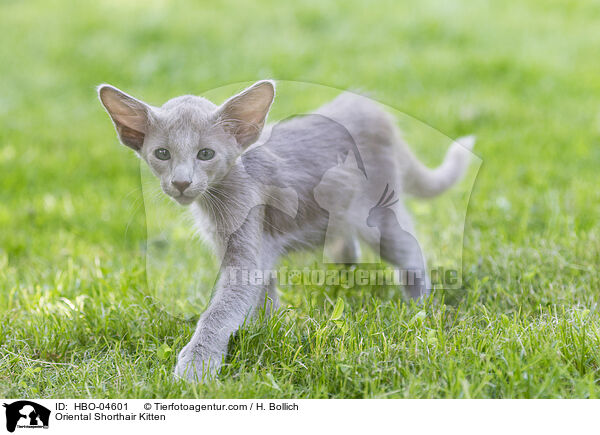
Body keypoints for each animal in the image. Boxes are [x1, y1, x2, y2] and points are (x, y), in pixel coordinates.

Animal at [97, 81, 474, 382]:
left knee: (408, 250)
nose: (181, 182)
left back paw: (419, 306)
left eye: (206, 154)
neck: (216, 200)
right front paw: (266, 330)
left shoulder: (247, 247)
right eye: (162, 154)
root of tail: (370, 108)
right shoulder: (255, 249)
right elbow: (264, 294)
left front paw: (196, 365)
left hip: (379, 214)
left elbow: (220, 311)